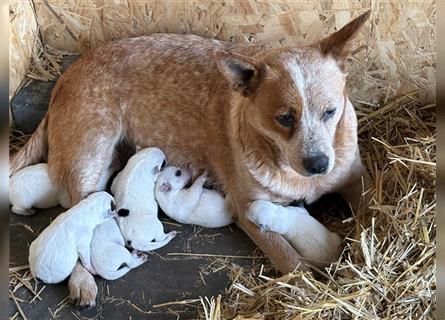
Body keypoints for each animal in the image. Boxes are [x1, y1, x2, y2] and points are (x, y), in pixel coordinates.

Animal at [11, 12, 372, 308]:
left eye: (330, 111)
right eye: (284, 118)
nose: (318, 165)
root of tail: (66, 75)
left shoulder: (356, 177)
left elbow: (370, 212)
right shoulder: (248, 209)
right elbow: (291, 262)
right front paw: (313, 285)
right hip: (91, 150)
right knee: (73, 212)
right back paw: (82, 282)